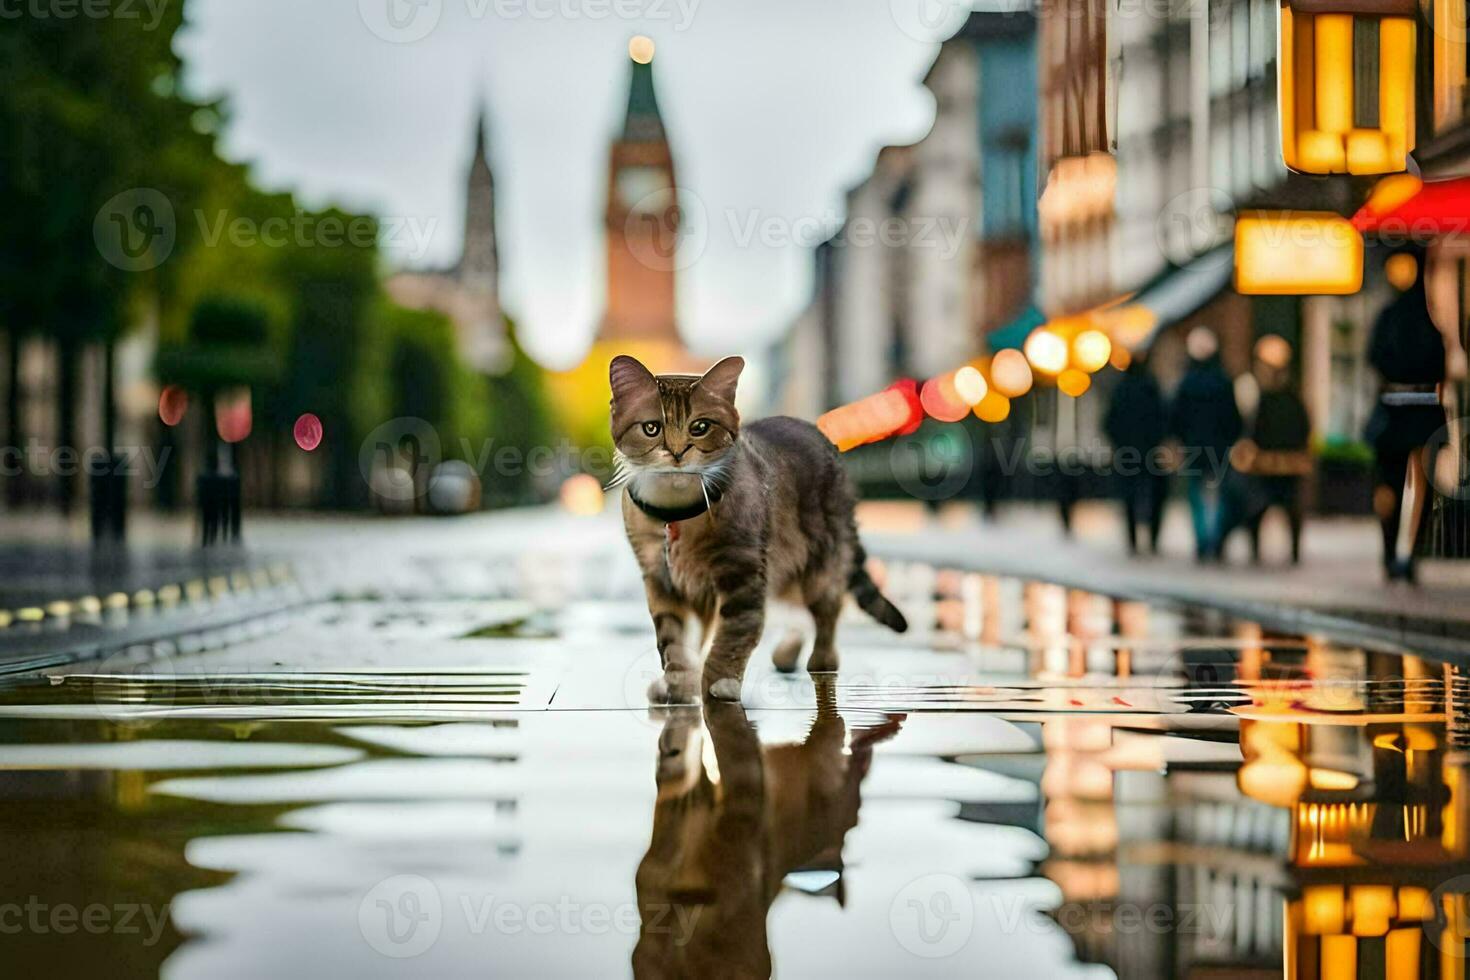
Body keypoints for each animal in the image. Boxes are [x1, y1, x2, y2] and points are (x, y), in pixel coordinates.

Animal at [602, 354, 899, 705]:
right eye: (651, 428)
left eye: (700, 427)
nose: (676, 454)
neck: (676, 512)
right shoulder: (661, 580)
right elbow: (674, 641)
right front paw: (679, 686)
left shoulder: (741, 571)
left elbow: (734, 634)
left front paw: (717, 684)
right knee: (796, 611)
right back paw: (786, 652)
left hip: (817, 559)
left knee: (827, 609)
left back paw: (821, 659)